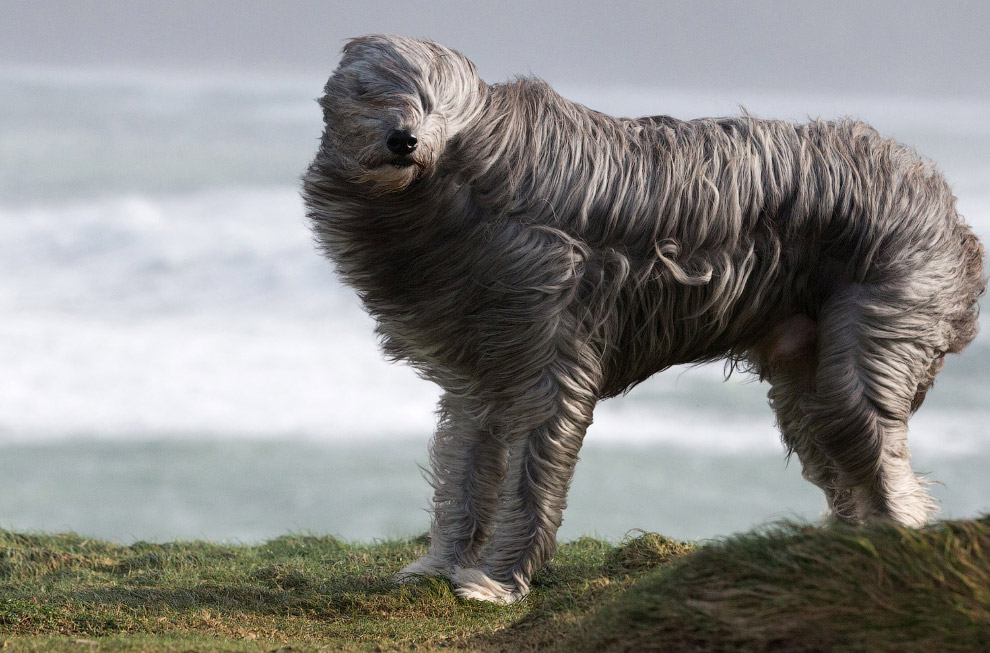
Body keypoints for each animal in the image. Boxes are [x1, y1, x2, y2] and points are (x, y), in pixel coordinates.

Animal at [306, 34, 988, 600]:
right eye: (374, 91)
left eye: (441, 105)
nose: (404, 140)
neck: (472, 173)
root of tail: (940, 197)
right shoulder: (480, 376)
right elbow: (467, 469)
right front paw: (442, 564)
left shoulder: (553, 352)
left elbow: (531, 473)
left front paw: (498, 582)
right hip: (807, 373)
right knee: (840, 452)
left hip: (872, 337)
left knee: (882, 461)